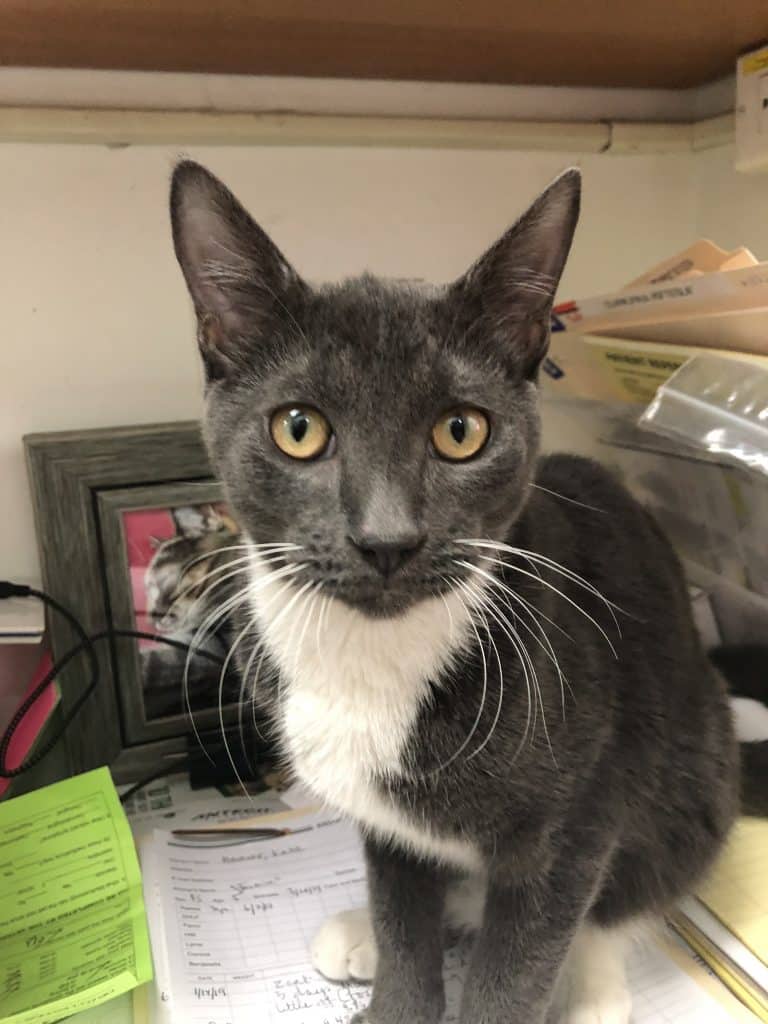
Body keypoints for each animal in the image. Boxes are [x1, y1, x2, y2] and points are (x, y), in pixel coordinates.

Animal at [169, 160, 740, 1024]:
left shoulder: (576, 826)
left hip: (694, 766)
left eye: (461, 432)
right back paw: (361, 933)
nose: (386, 539)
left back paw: (593, 993)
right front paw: (394, 987)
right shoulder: (385, 824)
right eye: (298, 429)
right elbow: (403, 911)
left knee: (620, 902)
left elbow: (522, 960)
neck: (376, 659)